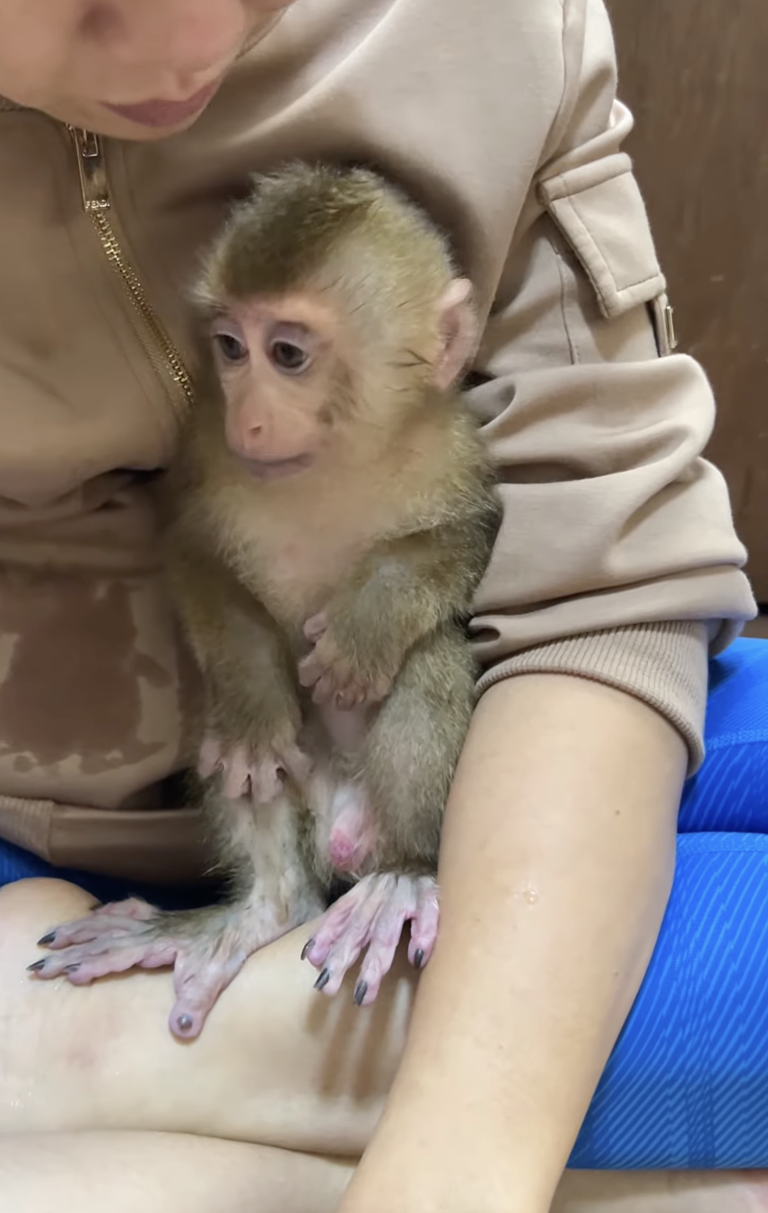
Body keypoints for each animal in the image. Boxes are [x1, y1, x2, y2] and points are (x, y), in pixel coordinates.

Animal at [28, 162, 501, 1040]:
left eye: (286, 353)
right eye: (229, 347)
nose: (249, 415)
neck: (340, 462)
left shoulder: (455, 449)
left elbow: (462, 540)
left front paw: (364, 628)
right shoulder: (208, 450)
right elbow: (192, 553)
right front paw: (252, 704)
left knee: (431, 660)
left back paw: (404, 873)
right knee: (239, 762)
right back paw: (265, 905)